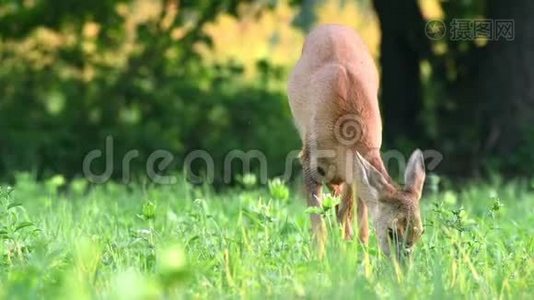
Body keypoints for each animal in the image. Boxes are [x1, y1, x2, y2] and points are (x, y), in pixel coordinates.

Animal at [288, 24, 428, 258]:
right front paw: (321, 257)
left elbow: (357, 221)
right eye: (392, 230)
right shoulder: (308, 159)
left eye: (419, 232)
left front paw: (358, 255)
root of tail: (330, 25)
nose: (402, 264)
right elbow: (317, 222)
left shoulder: (358, 168)